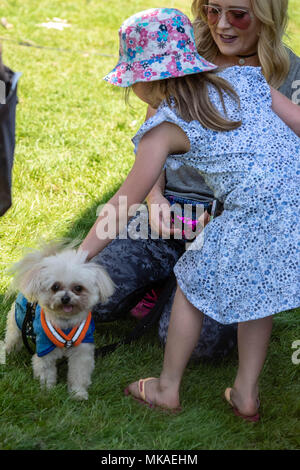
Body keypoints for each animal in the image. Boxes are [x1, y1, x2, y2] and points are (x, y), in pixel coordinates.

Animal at [4, 242, 115, 400]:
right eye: (55, 287)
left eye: (78, 288)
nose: (65, 298)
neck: (65, 323)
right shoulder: (45, 350)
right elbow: (46, 373)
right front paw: (48, 392)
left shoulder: (82, 351)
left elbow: (78, 375)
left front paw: (78, 394)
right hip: (17, 324)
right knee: (11, 341)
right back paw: (6, 354)